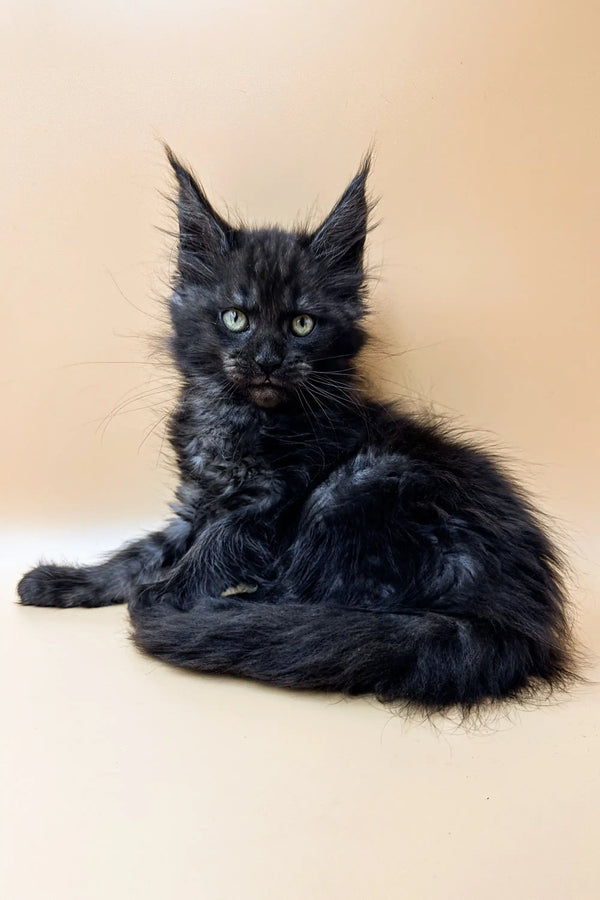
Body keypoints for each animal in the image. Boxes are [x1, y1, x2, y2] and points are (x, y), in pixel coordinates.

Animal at [16, 148, 576, 712]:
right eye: (235, 318)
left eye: (302, 325)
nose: (267, 360)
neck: (236, 416)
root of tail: (514, 621)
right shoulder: (197, 502)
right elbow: (138, 554)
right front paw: (62, 581)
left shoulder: (266, 502)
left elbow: (210, 551)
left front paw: (163, 593)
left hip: (354, 487)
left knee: (325, 599)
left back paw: (233, 612)